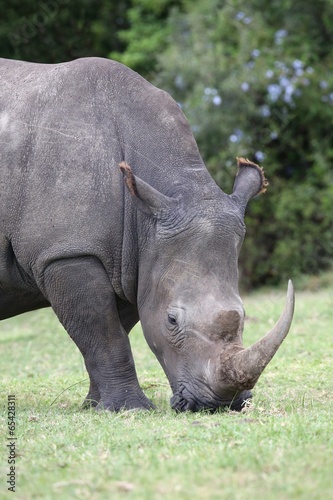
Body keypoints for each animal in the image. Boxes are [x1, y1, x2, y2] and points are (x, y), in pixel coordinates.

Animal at [0, 56, 294, 412]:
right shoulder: (65, 251)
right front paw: (131, 408)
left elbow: (114, 329)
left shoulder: (133, 259)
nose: (219, 405)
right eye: (172, 320)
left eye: (244, 314)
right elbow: (104, 332)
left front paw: (97, 406)